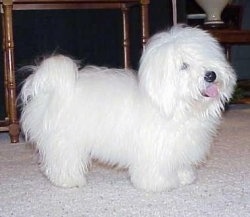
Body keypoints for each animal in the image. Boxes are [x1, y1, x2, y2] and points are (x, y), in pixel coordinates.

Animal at [20, 25, 236, 192]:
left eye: (206, 57)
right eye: (184, 66)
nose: (211, 75)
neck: (174, 105)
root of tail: (49, 88)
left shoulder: (178, 147)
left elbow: (179, 163)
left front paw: (184, 177)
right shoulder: (154, 148)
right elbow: (154, 170)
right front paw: (159, 184)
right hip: (65, 139)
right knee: (62, 161)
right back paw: (68, 181)